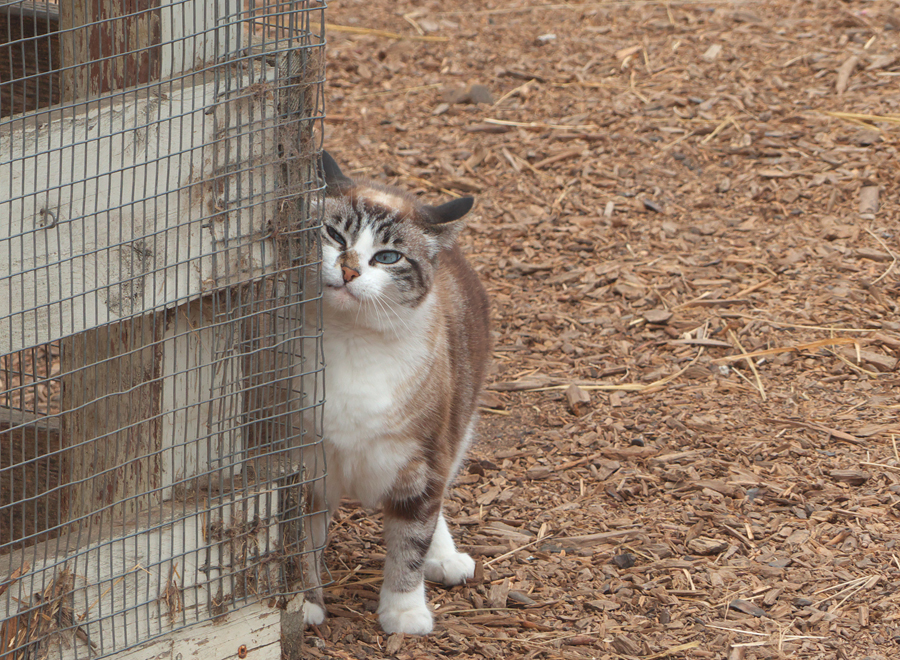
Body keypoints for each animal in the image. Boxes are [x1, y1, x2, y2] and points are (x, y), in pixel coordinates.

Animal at [298, 150, 488, 636]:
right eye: (334, 235)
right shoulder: (306, 470)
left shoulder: (420, 466)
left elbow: (410, 545)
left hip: (457, 429)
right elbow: (297, 548)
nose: (348, 270)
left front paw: (404, 614)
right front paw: (303, 605)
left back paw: (446, 560)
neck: (352, 341)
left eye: (387, 257)